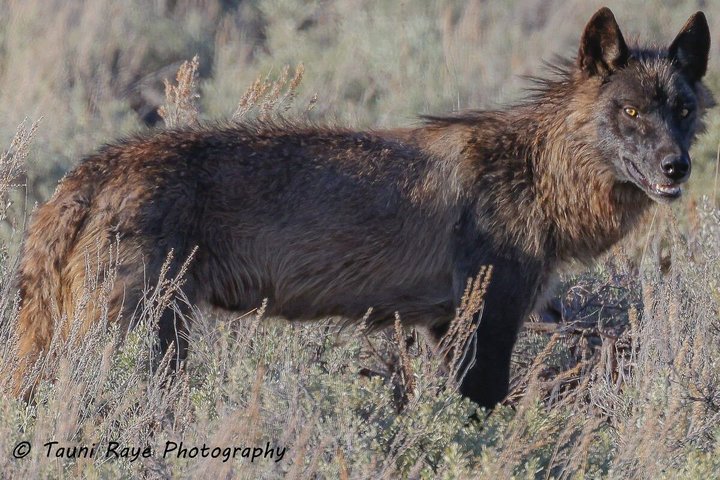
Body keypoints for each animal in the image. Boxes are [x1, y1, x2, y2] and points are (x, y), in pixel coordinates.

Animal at [14, 8, 713, 408]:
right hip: (137, 340)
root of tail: (88, 171)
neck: (540, 172)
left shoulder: (444, 329)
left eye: (681, 109)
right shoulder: (487, 325)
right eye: (630, 111)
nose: (675, 167)